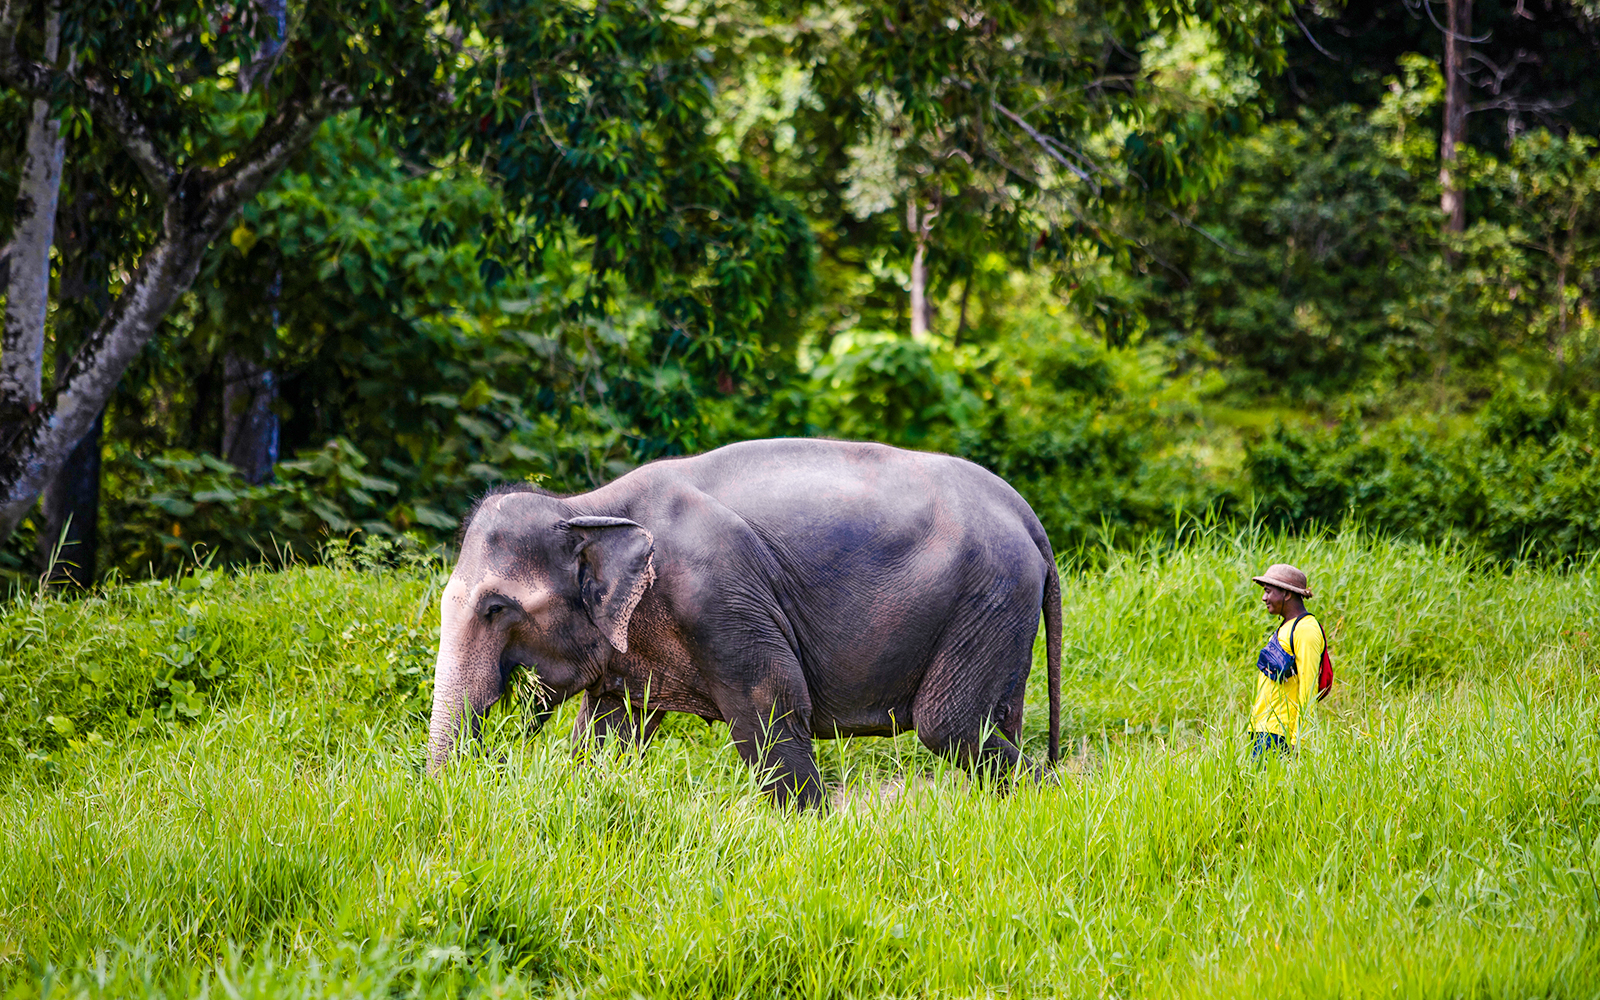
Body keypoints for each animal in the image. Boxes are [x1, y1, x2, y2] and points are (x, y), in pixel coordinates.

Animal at [425, 437, 1062, 808]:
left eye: (496, 608)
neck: (587, 505)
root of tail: (1027, 514)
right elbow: (609, 731)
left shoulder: (717, 596)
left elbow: (772, 705)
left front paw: (805, 834)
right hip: (999, 613)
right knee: (990, 722)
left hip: (989, 596)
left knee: (948, 725)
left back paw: (1050, 802)